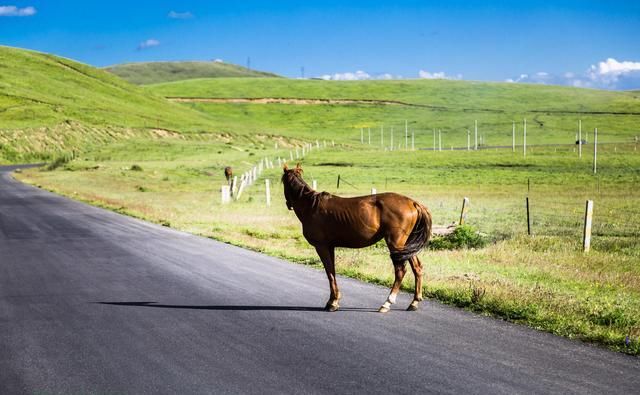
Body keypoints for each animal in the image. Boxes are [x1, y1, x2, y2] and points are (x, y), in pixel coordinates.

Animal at [282, 163, 432, 312]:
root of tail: (413, 203)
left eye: (282, 181)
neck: (311, 206)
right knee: (417, 268)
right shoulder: (330, 246)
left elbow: (329, 272)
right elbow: (333, 271)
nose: (288, 205)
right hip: (407, 246)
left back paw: (387, 303)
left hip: (397, 244)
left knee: (400, 271)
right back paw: (414, 302)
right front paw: (334, 300)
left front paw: (333, 302)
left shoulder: (322, 246)